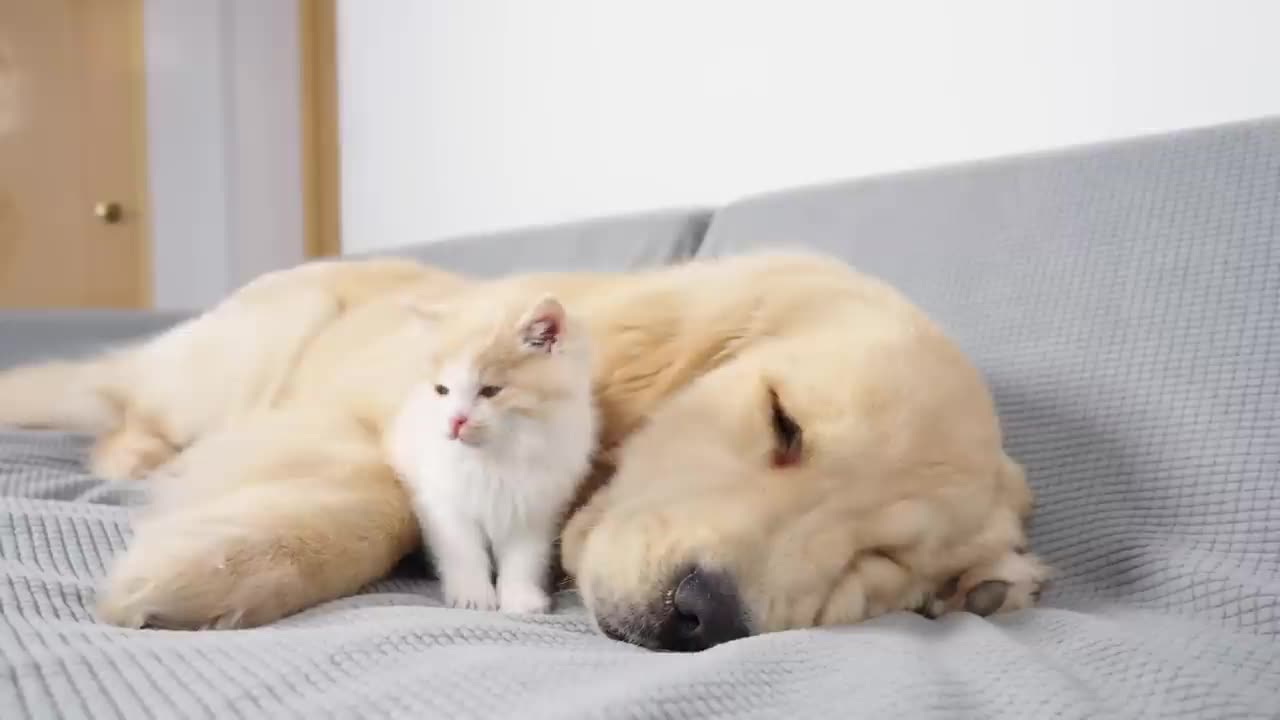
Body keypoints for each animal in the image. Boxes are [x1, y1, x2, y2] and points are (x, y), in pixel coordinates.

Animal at [386, 292, 596, 609]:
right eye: (442, 390)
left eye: (490, 391)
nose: (456, 420)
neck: (494, 456)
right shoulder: (443, 500)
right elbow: (462, 549)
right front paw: (472, 596)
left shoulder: (537, 507)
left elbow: (525, 557)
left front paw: (521, 598)